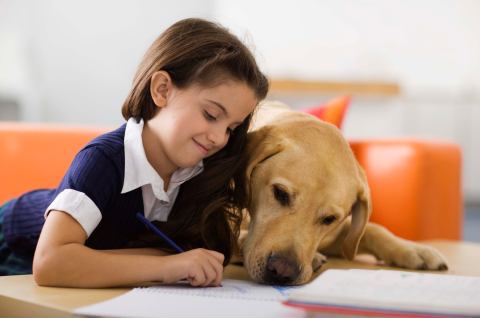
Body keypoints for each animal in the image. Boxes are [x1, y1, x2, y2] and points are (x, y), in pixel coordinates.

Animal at [232, 101, 450, 286]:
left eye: (330, 219)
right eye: (280, 193)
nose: (283, 271)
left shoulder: (337, 237)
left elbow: (372, 230)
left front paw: (413, 249)